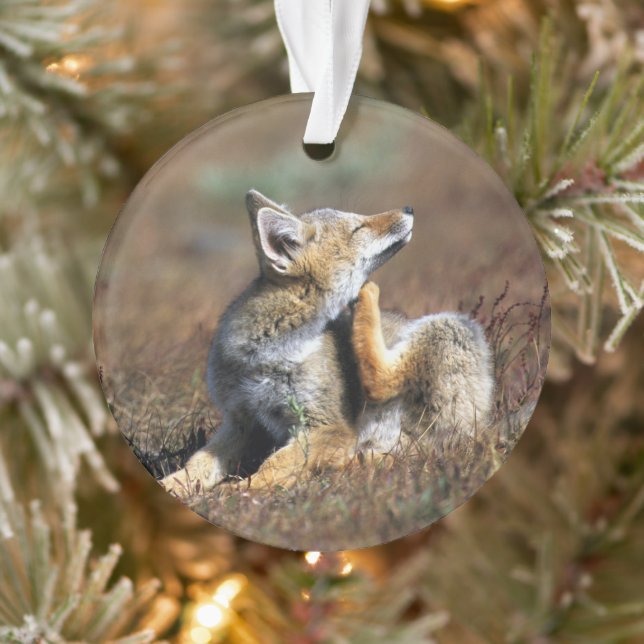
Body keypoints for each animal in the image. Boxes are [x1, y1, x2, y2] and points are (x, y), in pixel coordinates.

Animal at [161, 189, 494, 496]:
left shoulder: (329, 425)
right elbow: (197, 464)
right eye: (359, 227)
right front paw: (172, 486)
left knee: (381, 384)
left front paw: (239, 491)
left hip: (452, 326)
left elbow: (273, 464)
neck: (265, 353)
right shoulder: (241, 422)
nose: (409, 208)